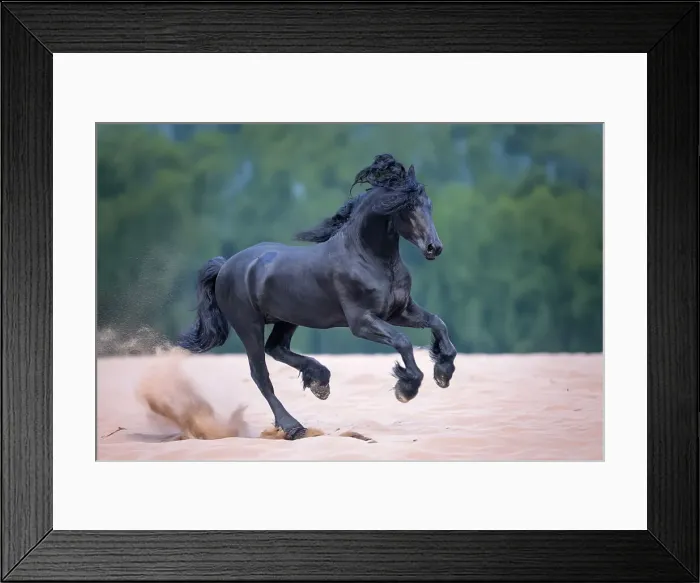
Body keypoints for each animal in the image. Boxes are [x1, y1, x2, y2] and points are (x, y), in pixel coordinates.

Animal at [177, 153, 458, 440]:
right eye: (407, 207)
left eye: (428, 205)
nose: (434, 248)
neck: (369, 258)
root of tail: (225, 266)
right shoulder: (361, 322)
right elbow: (403, 341)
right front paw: (406, 387)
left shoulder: (399, 311)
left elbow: (437, 323)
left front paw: (443, 371)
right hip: (249, 325)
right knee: (260, 374)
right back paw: (293, 426)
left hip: (287, 318)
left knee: (276, 348)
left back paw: (320, 381)